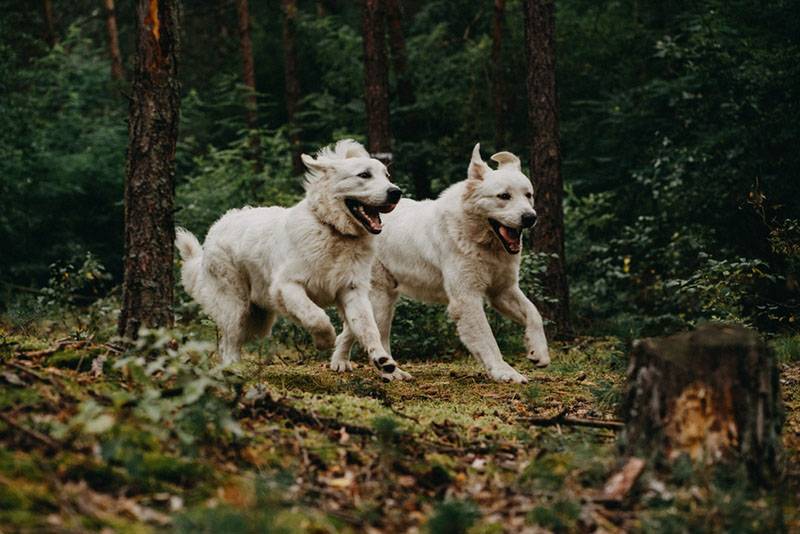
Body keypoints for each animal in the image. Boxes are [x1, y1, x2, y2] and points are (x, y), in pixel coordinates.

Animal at [176, 138, 412, 382]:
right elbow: (316, 316)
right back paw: (234, 370)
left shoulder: (352, 290)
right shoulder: (287, 287)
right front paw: (325, 340)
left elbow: (368, 328)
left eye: (387, 175)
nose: (396, 192)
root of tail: (214, 230)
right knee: (229, 343)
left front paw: (383, 360)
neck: (333, 232)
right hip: (236, 306)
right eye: (364, 175)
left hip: (258, 318)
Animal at [332, 144, 552, 384]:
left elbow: (534, 314)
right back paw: (392, 372)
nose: (530, 217)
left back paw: (340, 362)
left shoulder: (502, 291)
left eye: (528, 195)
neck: (480, 241)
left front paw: (538, 352)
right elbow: (488, 339)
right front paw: (505, 372)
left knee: (352, 329)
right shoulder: (467, 298)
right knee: (376, 336)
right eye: (504, 196)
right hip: (381, 299)